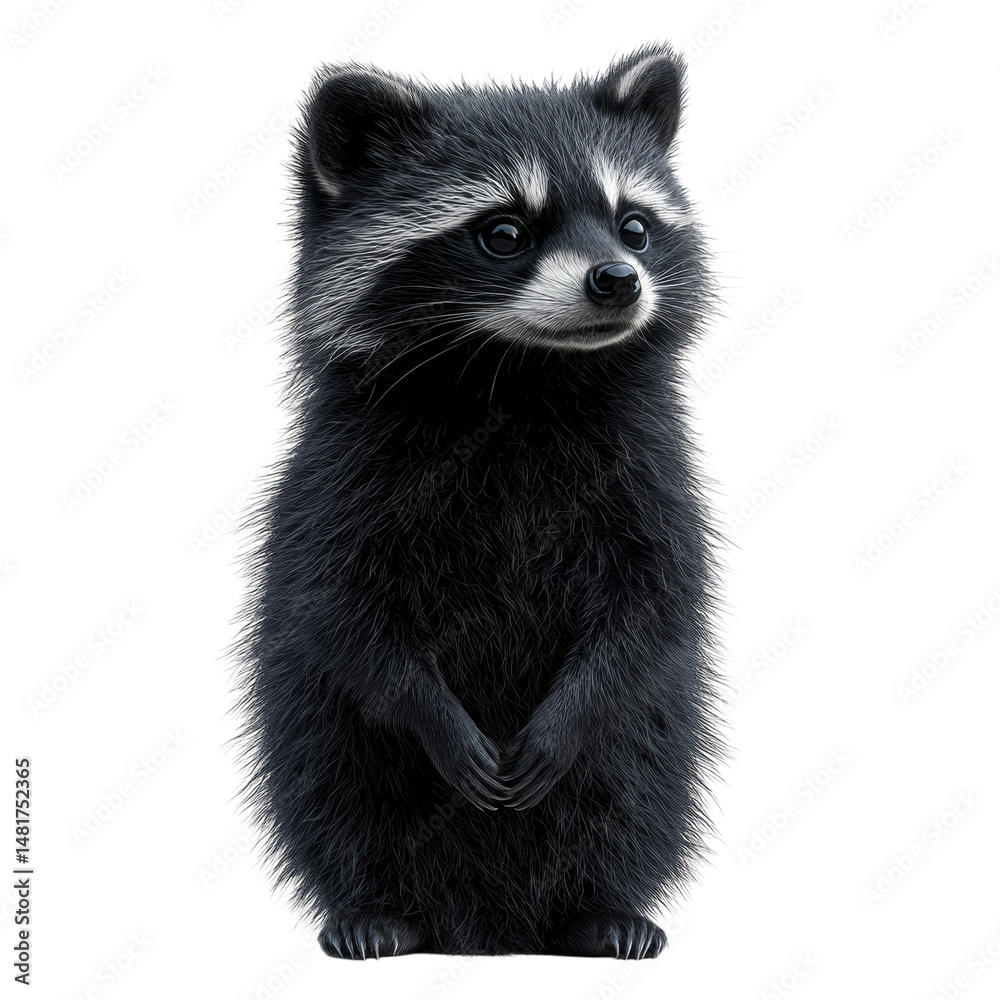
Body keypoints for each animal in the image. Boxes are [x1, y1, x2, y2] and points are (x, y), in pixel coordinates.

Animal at [233, 42, 723, 960]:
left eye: (633, 226)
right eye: (504, 233)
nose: (619, 279)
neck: (525, 374)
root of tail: (488, 930)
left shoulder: (653, 476)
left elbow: (654, 603)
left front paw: (567, 721)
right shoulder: (339, 476)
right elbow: (339, 610)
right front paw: (434, 719)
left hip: (657, 735)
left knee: (631, 785)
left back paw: (598, 908)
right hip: (308, 718)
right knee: (336, 787)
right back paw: (374, 906)